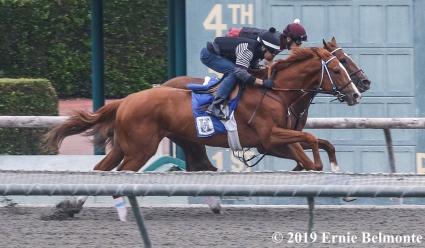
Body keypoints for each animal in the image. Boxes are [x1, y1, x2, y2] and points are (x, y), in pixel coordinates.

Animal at [162, 37, 368, 172]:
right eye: (339, 66)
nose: (359, 90)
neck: (277, 93)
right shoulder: (270, 139)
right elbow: (308, 153)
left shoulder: (286, 136)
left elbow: (323, 144)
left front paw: (335, 169)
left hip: (190, 141)